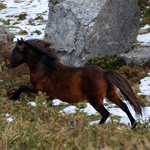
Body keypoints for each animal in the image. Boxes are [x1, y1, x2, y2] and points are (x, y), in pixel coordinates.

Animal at [5, 37, 144, 129]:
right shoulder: (49, 95)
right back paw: (133, 125)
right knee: (124, 106)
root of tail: (105, 73)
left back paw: (94, 127)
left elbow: (22, 87)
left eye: (15, 51)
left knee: (105, 113)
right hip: (111, 94)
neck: (43, 67)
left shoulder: (37, 88)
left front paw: (12, 98)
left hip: (94, 99)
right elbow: (48, 107)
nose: (7, 63)